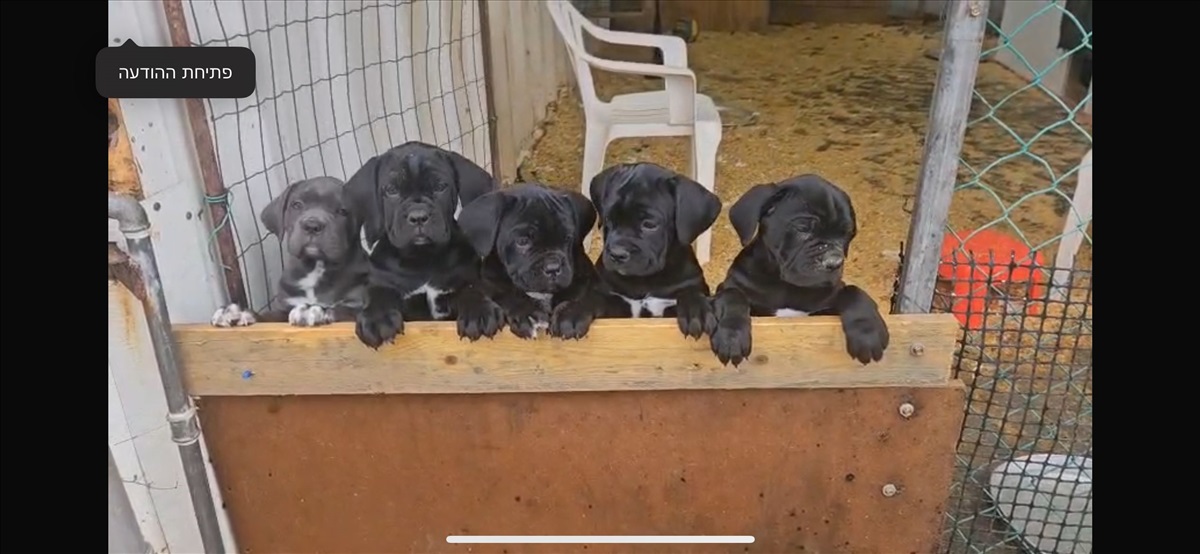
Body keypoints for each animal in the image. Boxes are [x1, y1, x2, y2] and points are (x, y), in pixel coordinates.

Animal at [211, 175, 367, 326]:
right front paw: (238, 313)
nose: (312, 225)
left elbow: (344, 311)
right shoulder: (284, 307)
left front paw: (313, 310)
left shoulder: (359, 304)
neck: (315, 268)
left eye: (343, 211)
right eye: (296, 205)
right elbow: (268, 317)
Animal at [343, 142, 501, 347]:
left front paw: (479, 312)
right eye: (391, 190)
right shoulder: (384, 283)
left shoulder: (466, 279)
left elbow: (471, 289)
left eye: (440, 187)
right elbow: (379, 294)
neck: (422, 258)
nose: (418, 216)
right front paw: (377, 318)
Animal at [458, 183, 609, 340]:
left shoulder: (586, 281)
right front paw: (528, 314)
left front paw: (570, 314)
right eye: (522, 241)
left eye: (567, 238)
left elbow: (581, 296)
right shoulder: (492, 282)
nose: (553, 268)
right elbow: (504, 293)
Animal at [590, 161, 720, 340]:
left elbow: (690, 292)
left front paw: (696, 310)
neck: (645, 281)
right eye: (609, 218)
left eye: (649, 225)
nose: (617, 254)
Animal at [710, 175, 892, 366]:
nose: (834, 262)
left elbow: (853, 291)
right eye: (803, 228)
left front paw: (867, 332)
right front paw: (732, 336)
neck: (785, 285)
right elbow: (732, 295)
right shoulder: (730, 288)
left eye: (848, 233)